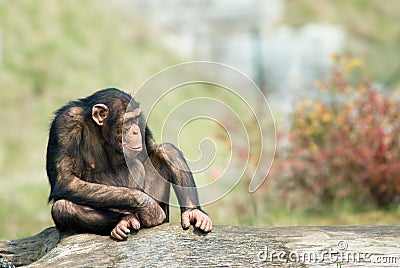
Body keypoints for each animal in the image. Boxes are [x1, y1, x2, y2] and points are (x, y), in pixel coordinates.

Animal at [47, 88, 212, 241]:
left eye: (137, 118)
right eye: (127, 121)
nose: (136, 131)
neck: (100, 129)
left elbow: (151, 150)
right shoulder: (65, 124)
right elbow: (66, 180)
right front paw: (149, 207)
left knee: (167, 150)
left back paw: (193, 212)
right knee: (63, 207)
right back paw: (124, 221)